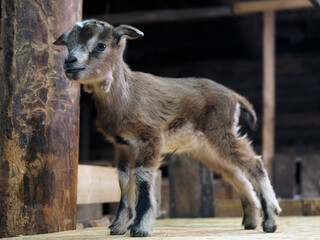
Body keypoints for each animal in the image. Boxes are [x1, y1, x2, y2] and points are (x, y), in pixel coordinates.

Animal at [54, 19, 280, 237]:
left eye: (101, 45)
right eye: (68, 45)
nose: (69, 61)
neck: (127, 96)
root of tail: (234, 96)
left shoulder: (151, 136)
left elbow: (142, 175)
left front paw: (140, 228)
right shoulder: (124, 146)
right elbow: (124, 178)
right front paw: (118, 226)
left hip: (221, 132)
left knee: (254, 163)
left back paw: (270, 220)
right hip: (206, 147)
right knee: (235, 172)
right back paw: (251, 220)